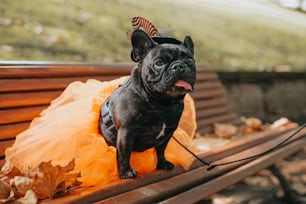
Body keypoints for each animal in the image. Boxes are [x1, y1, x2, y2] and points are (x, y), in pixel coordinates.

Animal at [99, 29, 197, 178]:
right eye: (159, 63)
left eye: (189, 60)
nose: (179, 66)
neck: (162, 102)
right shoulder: (127, 130)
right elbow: (124, 153)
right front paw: (126, 172)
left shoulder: (168, 132)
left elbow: (161, 150)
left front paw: (162, 164)